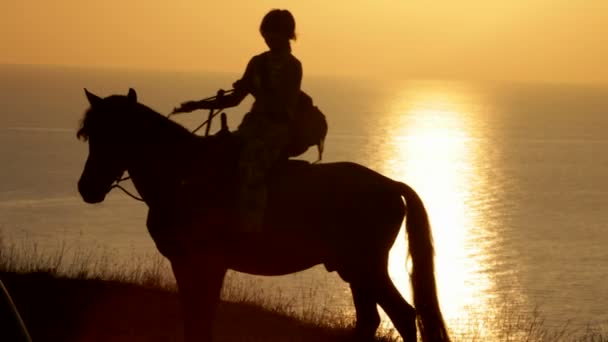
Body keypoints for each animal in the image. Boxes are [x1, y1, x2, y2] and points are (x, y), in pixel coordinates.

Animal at [76, 89, 448, 342]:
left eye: (118, 134)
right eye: (91, 135)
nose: (87, 188)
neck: (184, 175)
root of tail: (391, 185)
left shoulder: (206, 263)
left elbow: (202, 317)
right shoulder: (186, 264)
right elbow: (194, 317)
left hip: (366, 265)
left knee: (402, 315)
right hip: (356, 269)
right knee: (372, 319)